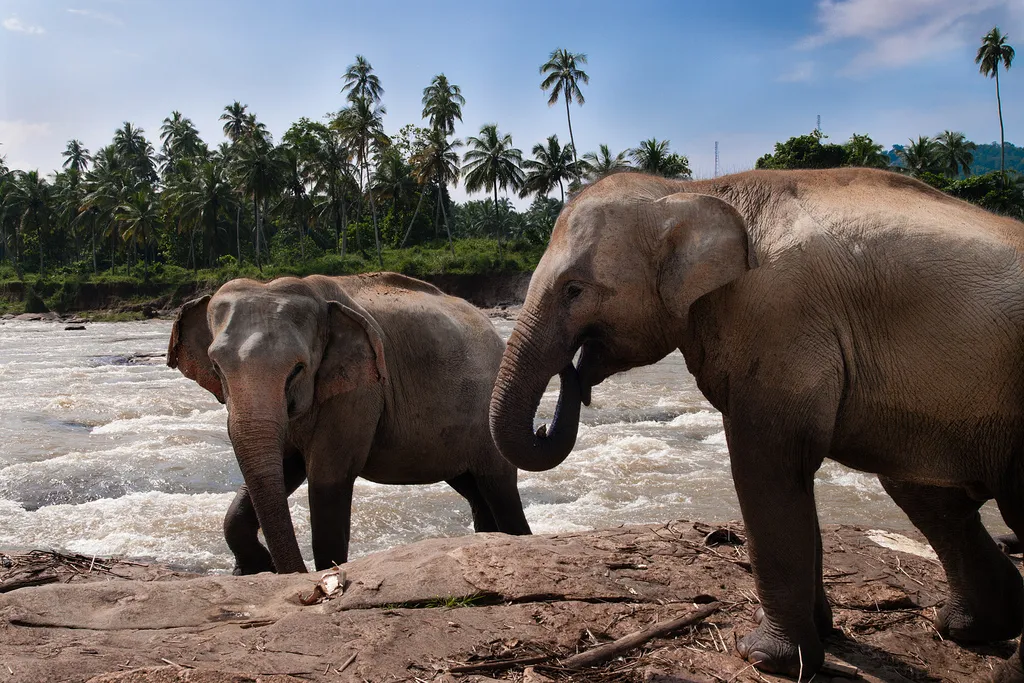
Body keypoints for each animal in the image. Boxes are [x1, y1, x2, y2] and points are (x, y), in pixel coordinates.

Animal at [168, 272, 531, 575]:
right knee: (473, 489)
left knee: (498, 487)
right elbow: (284, 469)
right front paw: (253, 570)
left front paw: (323, 571)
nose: (292, 572)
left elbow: (327, 479)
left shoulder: (360, 391)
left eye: (297, 369)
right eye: (216, 367)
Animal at [488, 169, 1024, 681]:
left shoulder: (778, 319)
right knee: (922, 491)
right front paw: (819, 639)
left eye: (574, 289)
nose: (574, 372)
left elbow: (764, 467)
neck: (694, 190)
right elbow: (793, 477)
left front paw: (765, 658)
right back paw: (967, 627)